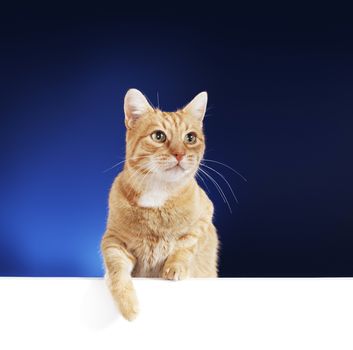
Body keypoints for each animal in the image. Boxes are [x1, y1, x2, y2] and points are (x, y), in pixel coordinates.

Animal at [100, 88, 219, 320]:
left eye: (190, 138)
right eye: (158, 136)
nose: (180, 153)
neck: (158, 193)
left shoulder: (204, 217)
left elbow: (185, 245)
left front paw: (175, 267)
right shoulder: (113, 241)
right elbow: (117, 270)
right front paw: (128, 305)